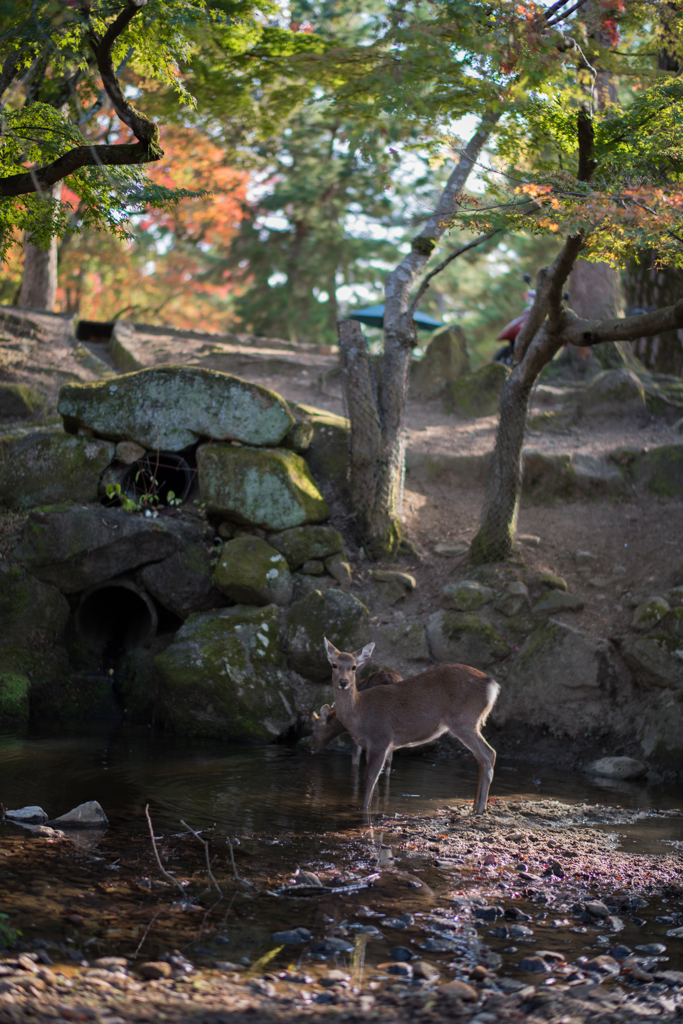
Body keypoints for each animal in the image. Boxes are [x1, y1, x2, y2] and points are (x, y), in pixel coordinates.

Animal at [323, 638, 499, 815]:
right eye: (334, 665)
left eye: (354, 667)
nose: (343, 682)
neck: (360, 714)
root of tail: (492, 685)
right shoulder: (370, 744)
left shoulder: (381, 739)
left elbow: (371, 777)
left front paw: (364, 809)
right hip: (472, 722)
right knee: (480, 757)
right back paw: (475, 806)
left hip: (464, 720)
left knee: (489, 754)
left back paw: (480, 809)